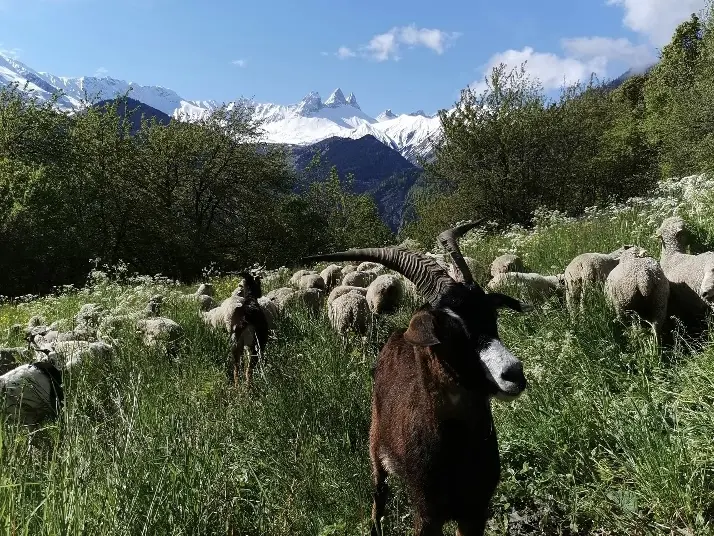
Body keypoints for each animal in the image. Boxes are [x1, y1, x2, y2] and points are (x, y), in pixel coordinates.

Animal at [301, 221, 531, 536]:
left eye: (491, 315)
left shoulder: (476, 510)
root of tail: (398, 333)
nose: (513, 374)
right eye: (446, 332)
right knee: (379, 493)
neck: (456, 449)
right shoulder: (426, 514)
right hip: (375, 445)